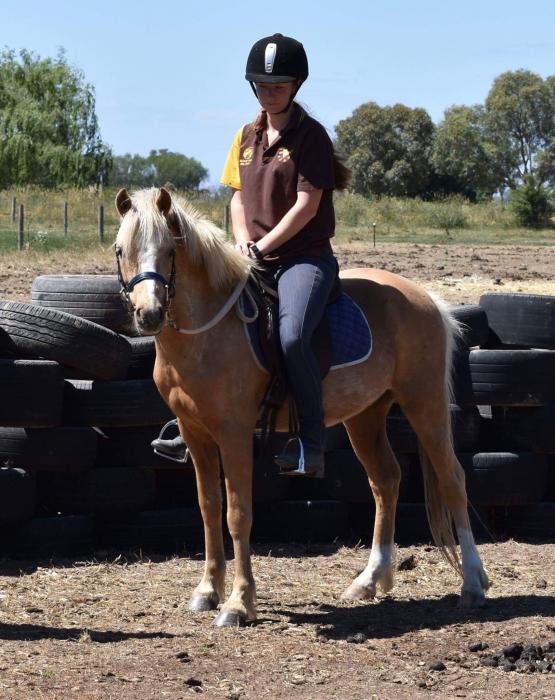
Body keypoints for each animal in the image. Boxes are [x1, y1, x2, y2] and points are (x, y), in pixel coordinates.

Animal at [114, 186, 489, 627]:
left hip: (424, 404)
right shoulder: (195, 432)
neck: (205, 333)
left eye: (170, 250)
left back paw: (473, 583)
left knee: (452, 479)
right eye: (120, 250)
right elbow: (208, 508)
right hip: (366, 416)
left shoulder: (233, 432)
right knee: (386, 481)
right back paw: (369, 579)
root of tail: (426, 297)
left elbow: (238, 513)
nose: (149, 314)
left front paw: (238, 603)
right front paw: (207, 591)